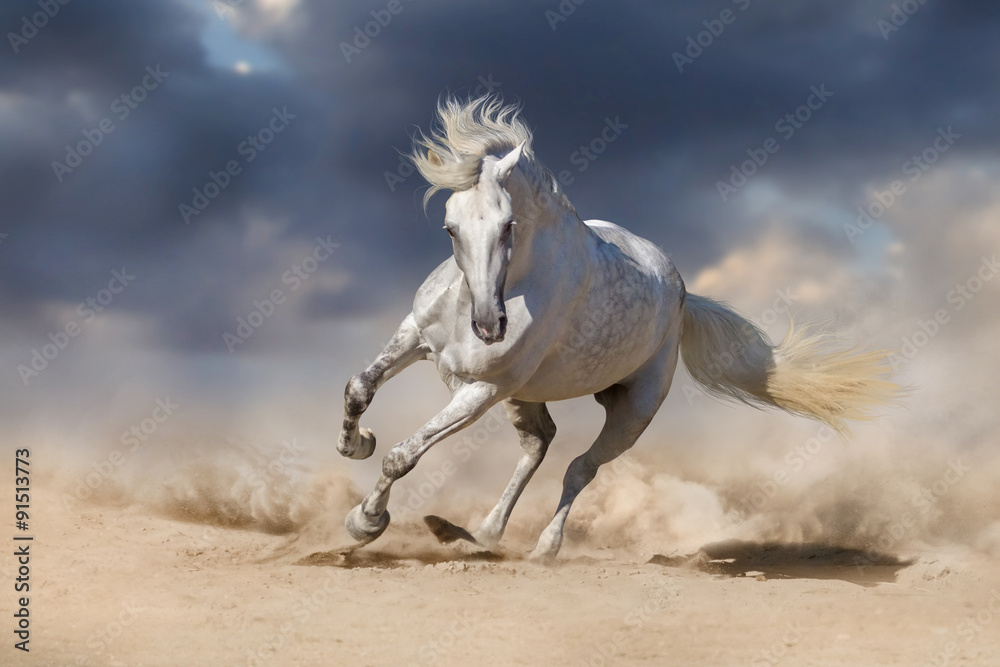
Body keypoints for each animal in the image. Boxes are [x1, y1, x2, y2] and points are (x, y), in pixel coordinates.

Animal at [338, 96, 900, 560]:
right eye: (450, 228)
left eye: (508, 225)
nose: (489, 327)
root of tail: (681, 293)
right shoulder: (417, 337)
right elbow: (360, 388)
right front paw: (355, 444)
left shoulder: (482, 390)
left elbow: (403, 456)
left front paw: (365, 523)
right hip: (528, 394)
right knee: (539, 443)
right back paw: (478, 534)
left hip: (631, 410)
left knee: (578, 467)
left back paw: (539, 548)